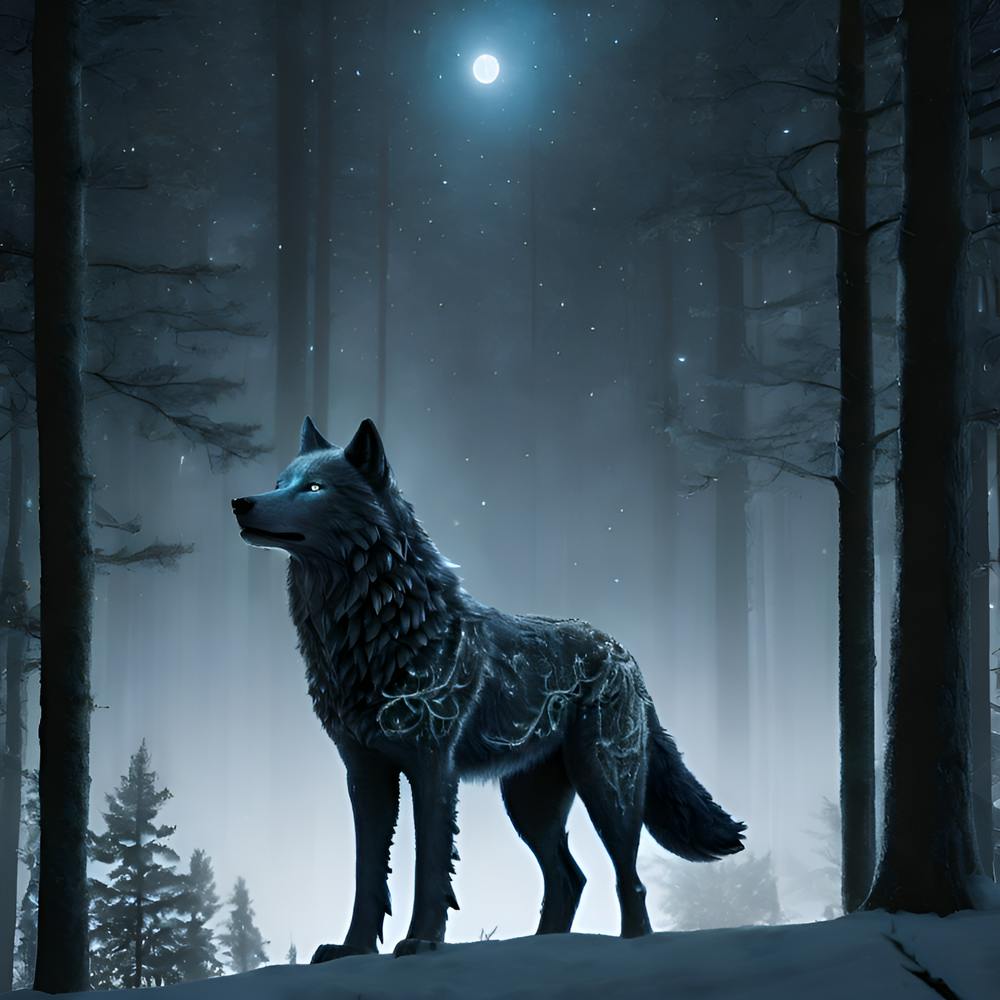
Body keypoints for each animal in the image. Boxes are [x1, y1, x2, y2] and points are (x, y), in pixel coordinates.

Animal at [232, 417, 745, 961]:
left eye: (313, 488)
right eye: (280, 481)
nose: (241, 502)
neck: (379, 631)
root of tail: (624, 653)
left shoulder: (433, 768)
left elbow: (430, 867)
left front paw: (421, 940)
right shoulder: (364, 774)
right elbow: (367, 872)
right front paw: (352, 949)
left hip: (605, 787)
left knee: (629, 877)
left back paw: (631, 945)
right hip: (528, 805)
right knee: (569, 878)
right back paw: (542, 947)